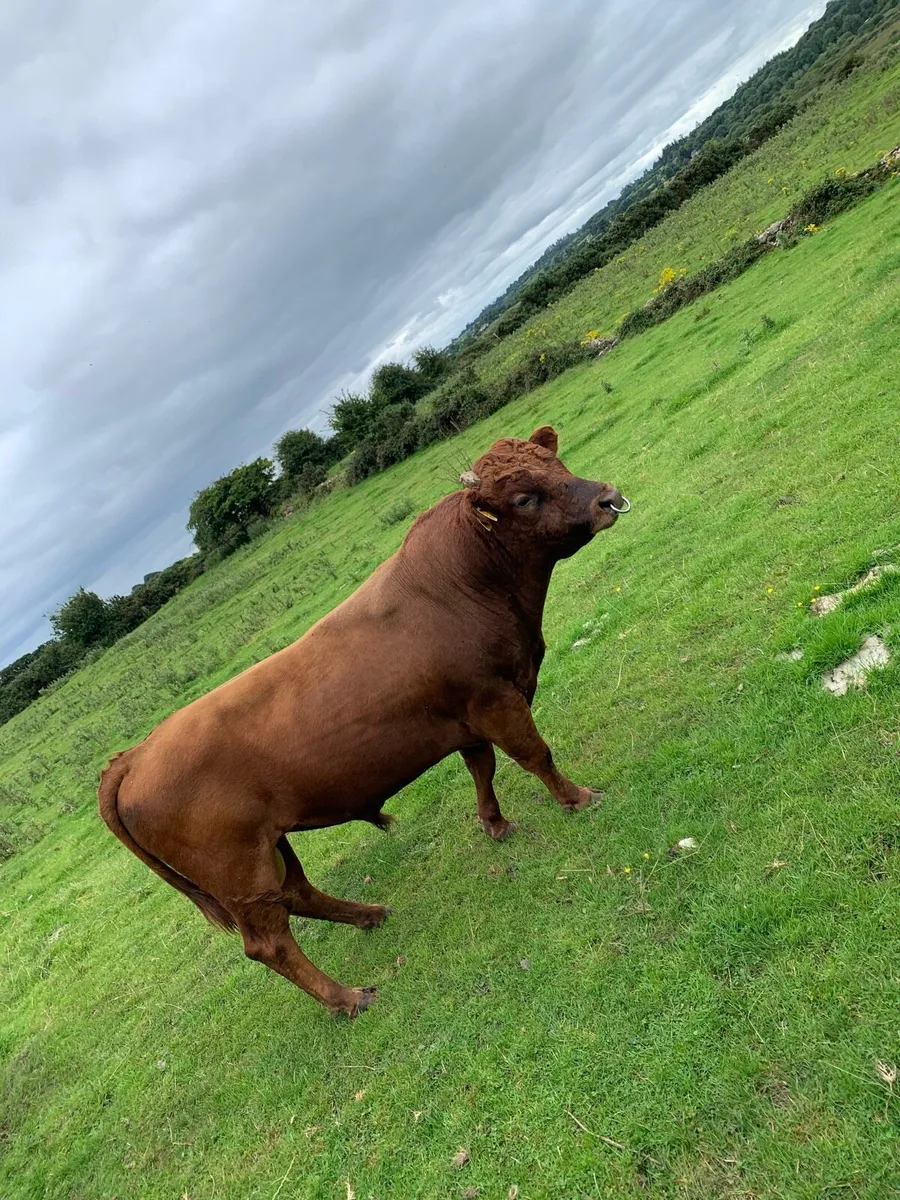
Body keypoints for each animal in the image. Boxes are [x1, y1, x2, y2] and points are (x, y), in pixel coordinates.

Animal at [98, 426, 630, 1016]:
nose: (608, 498)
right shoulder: (495, 699)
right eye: (523, 498)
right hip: (238, 872)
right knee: (268, 942)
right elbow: (535, 754)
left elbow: (482, 768)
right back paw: (347, 997)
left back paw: (369, 915)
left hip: (270, 845)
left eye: (557, 465)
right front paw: (578, 797)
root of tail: (133, 755)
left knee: (299, 892)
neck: (470, 581)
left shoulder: (469, 715)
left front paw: (495, 825)